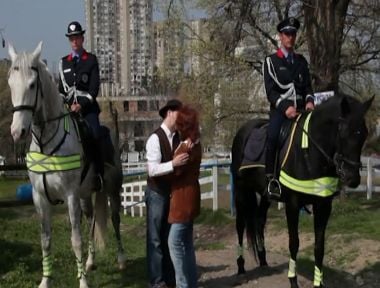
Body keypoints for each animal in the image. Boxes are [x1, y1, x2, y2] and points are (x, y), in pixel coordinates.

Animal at [7, 42, 126, 288]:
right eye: (10, 83)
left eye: (32, 84)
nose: (17, 132)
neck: (47, 144)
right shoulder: (40, 198)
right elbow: (45, 240)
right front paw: (45, 281)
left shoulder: (70, 196)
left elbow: (75, 240)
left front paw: (83, 282)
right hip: (85, 195)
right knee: (91, 221)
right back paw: (90, 262)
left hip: (111, 189)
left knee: (115, 220)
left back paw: (121, 259)